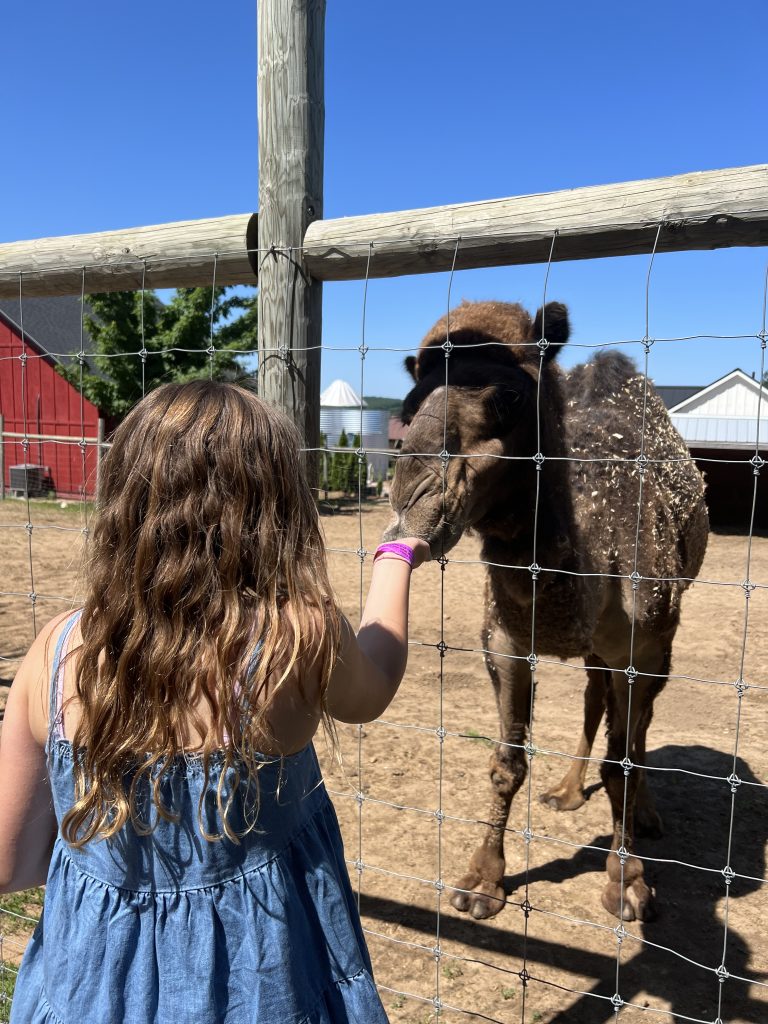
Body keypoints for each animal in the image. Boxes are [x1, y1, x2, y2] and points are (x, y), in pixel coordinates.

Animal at [385, 299, 708, 921]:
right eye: (411, 404)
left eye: (509, 397)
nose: (412, 496)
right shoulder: (506, 642)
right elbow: (507, 762)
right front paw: (482, 881)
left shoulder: (641, 644)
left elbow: (622, 762)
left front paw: (627, 882)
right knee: (593, 697)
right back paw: (566, 791)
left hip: (662, 639)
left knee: (639, 724)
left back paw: (646, 815)